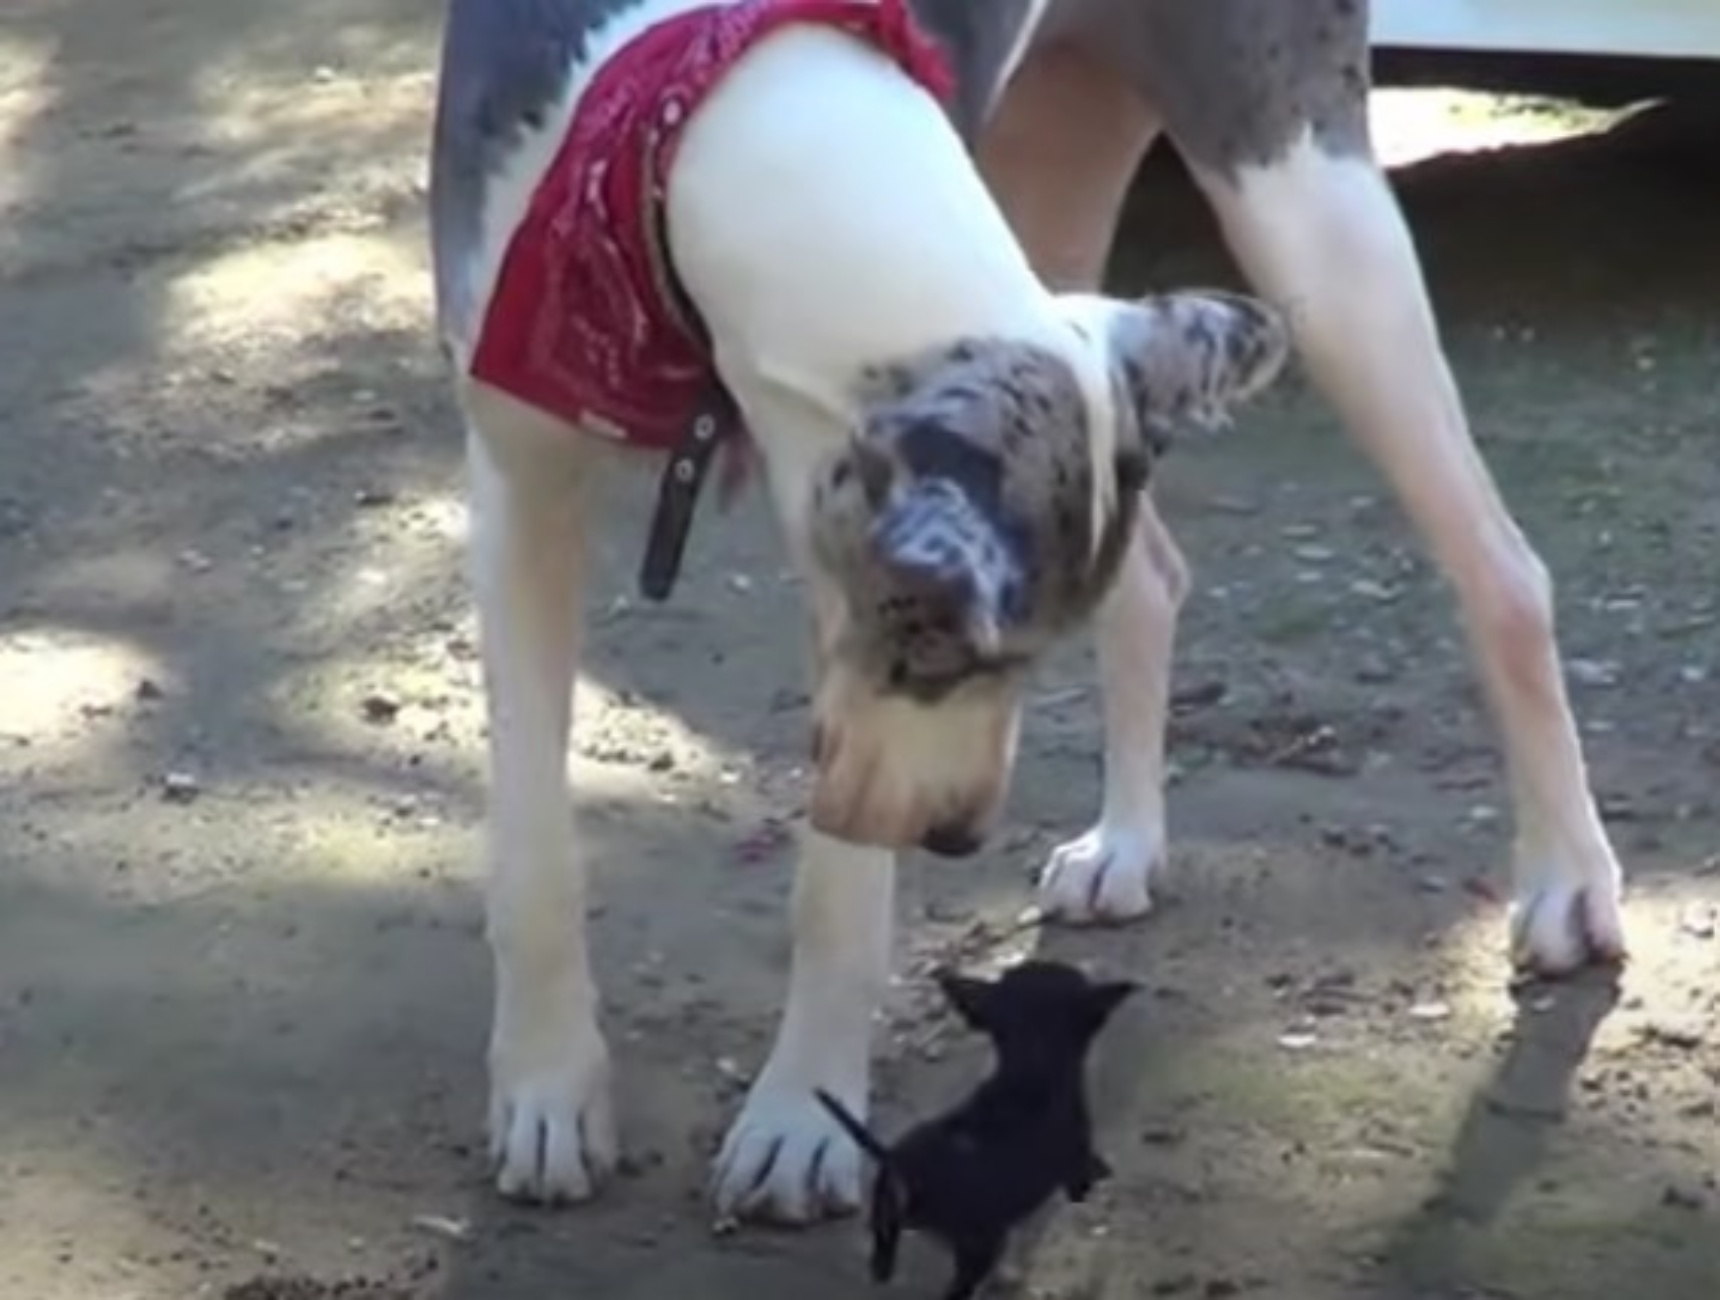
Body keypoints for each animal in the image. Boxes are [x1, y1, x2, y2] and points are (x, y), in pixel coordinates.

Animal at [430, 0, 1623, 1231]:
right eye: (945, 653)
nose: (957, 834)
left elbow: (838, 890)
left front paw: (802, 1120)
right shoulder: (518, 490)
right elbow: (533, 848)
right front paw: (549, 1090)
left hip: (1312, 219)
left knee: (1502, 571)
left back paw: (1569, 882)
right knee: (1151, 575)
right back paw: (1127, 845)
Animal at [818, 956, 1142, 1300]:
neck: (1029, 1069)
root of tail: (900, 1165)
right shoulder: (1075, 1165)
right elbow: (1086, 1177)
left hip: (886, 1217)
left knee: (882, 1255)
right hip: (979, 1244)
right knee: (958, 1287)